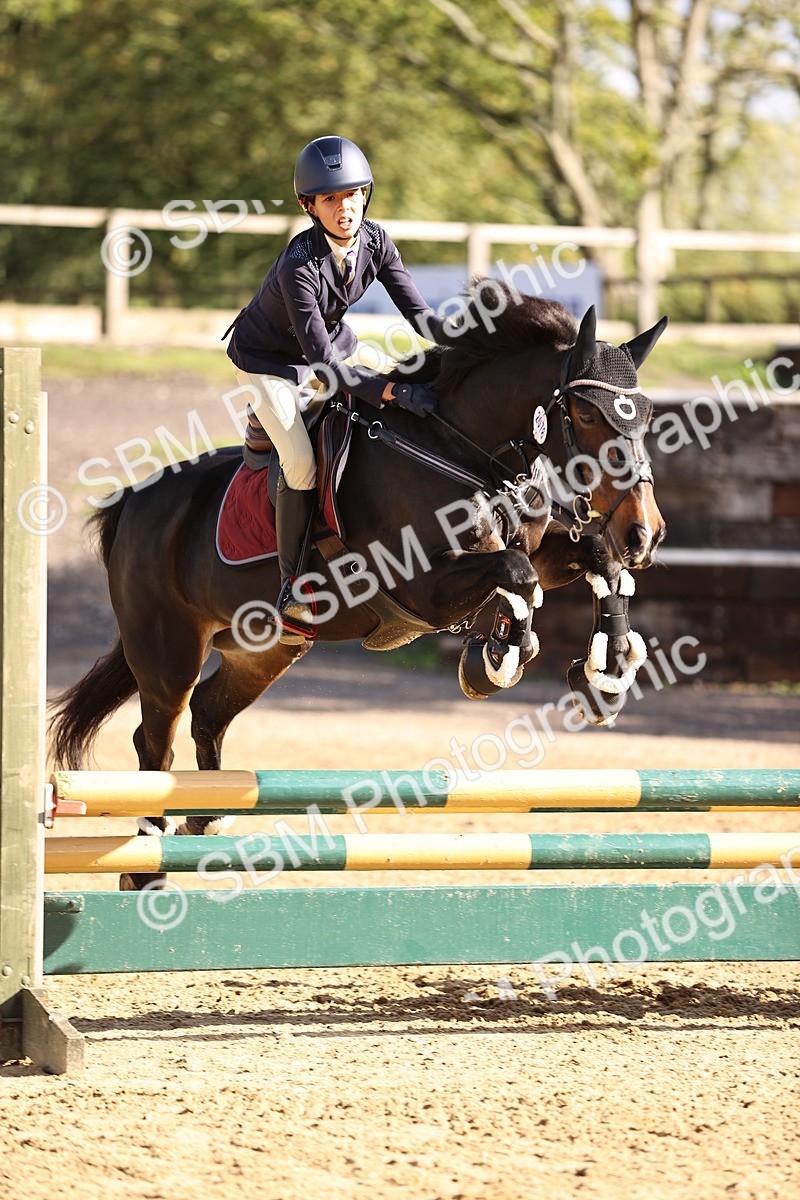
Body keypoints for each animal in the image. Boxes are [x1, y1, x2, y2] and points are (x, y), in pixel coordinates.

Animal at [50, 281, 667, 889]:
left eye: (645, 418)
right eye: (586, 415)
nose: (645, 533)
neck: (460, 452)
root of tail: (132, 503)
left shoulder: (538, 548)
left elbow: (594, 561)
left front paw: (607, 674)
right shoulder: (424, 587)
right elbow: (516, 574)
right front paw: (495, 659)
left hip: (265, 650)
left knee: (206, 711)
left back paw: (207, 819)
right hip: (168, 653)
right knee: (155, 740)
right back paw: (145, 866)